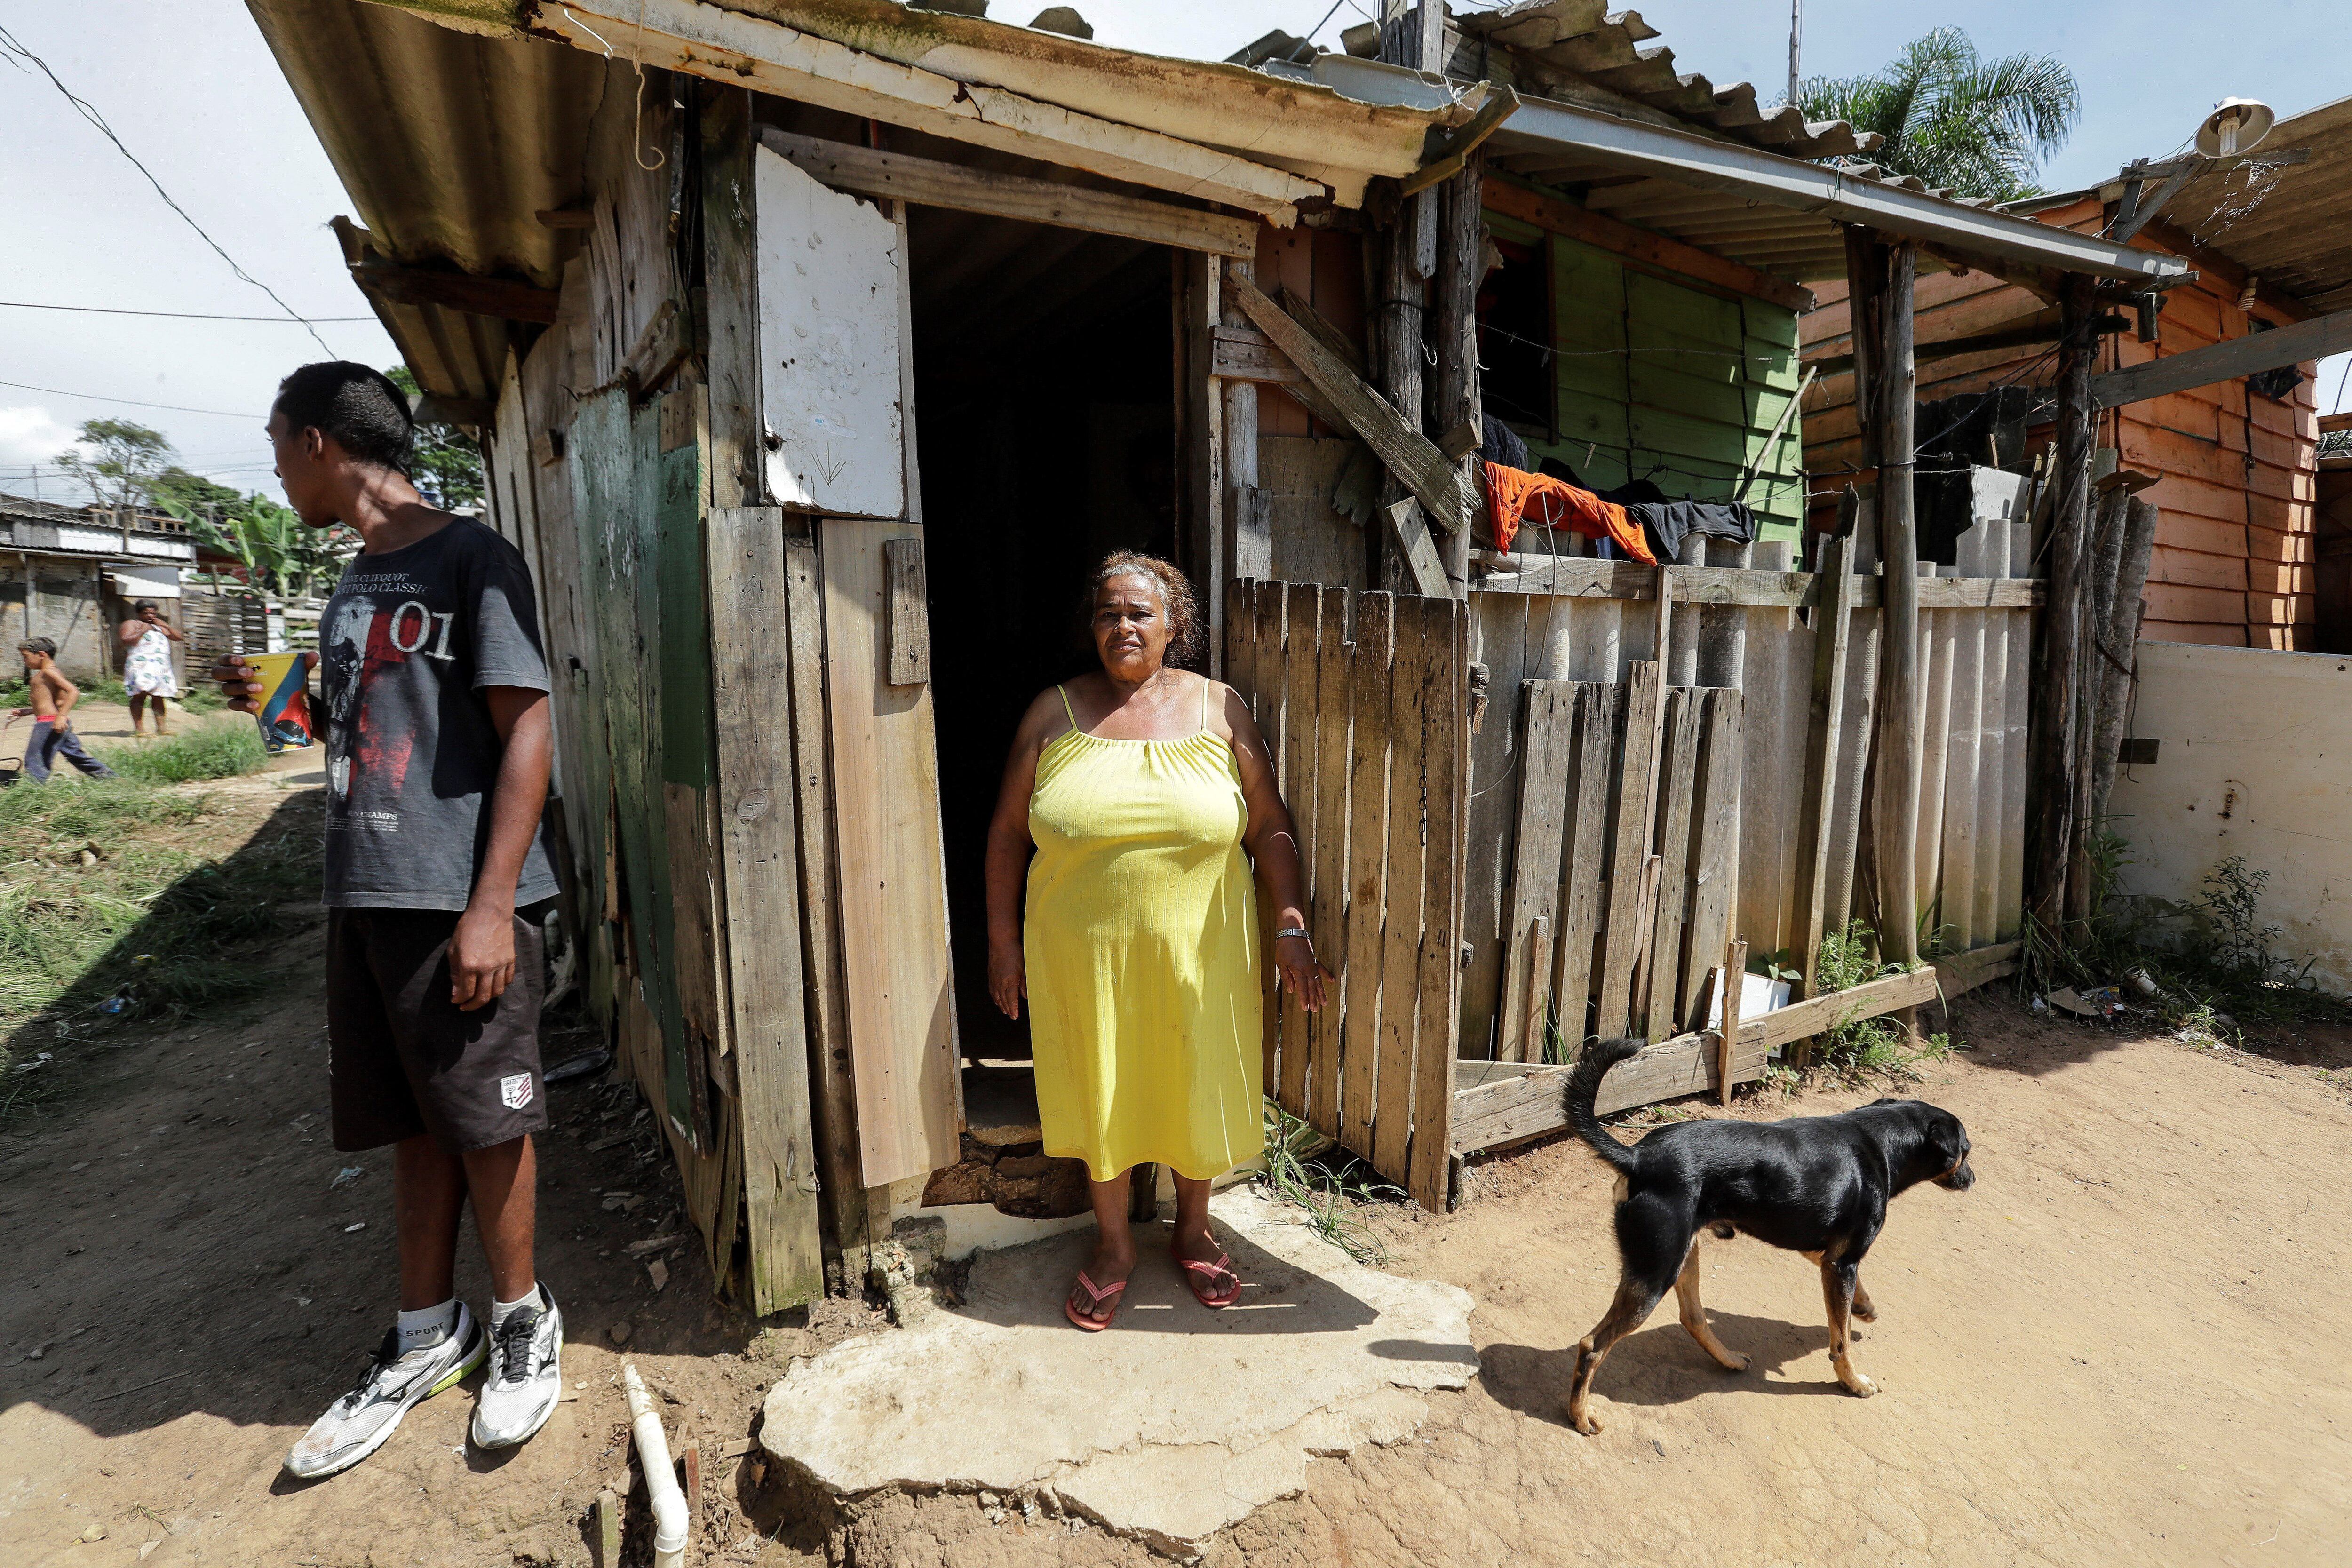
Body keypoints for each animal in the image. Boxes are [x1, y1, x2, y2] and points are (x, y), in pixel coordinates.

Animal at [1562, 1034, 1966, 1439]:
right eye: (1967, 1149)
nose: (1972, 1178)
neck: (1880, 1142)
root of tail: (1636, 1156)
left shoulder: (1829, 1257)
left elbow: (1849, 1307)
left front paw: (1865, 1307)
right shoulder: (1841, 1262)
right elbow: (1841, 1341)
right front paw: (1853, 1382)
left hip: (1682, 1255)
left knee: (1693, 1317)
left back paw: (1729, 1360)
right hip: (1656, 1272)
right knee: (1593, 1345)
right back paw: (1580, 1415)